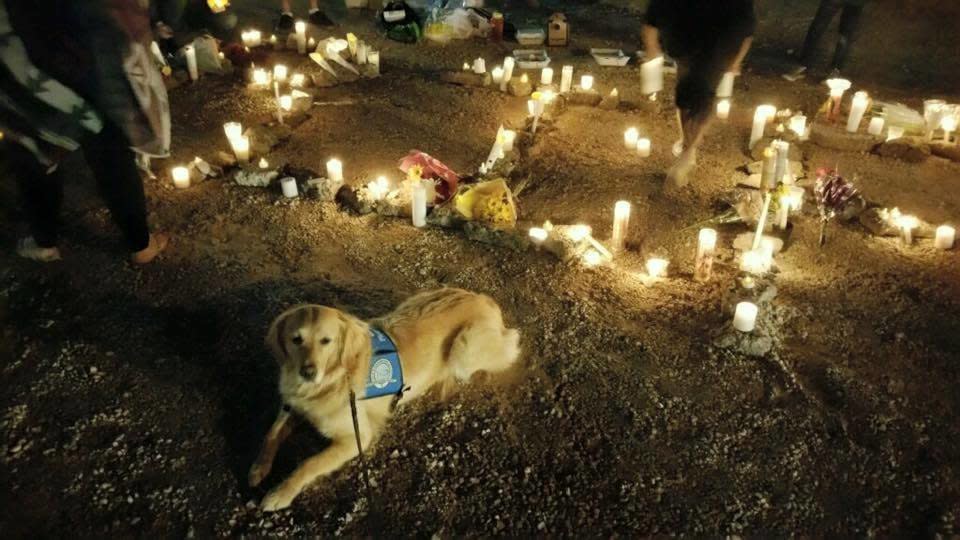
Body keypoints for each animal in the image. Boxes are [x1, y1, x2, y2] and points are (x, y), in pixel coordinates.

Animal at [248, 286, 516, 510]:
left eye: (326, 341)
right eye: (296, 339)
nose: (308, 372)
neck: (330, 380)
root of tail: (483, 299)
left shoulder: (356, 436)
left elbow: (309, 463)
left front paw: (280, 494)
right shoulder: (293, 405)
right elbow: (271, 434)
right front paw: (259, 468)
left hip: (465, 347)